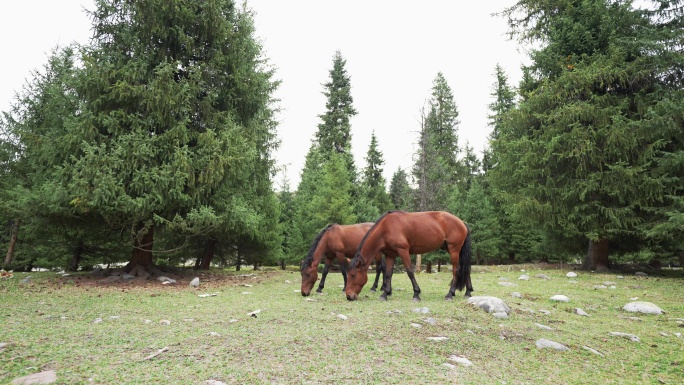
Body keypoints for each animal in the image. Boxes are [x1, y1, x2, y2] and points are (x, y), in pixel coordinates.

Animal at [344, 212, 472, 302]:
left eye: (353, 275)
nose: (349, 296)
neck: (386, 228)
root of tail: (462, 222)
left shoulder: (403, 251)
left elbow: (410, 272)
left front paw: (416, 294)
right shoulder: (390, 254)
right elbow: (388, 274)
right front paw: (385, 294)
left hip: (454, 250)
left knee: (457, 270)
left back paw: (450, 294)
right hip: (453, 250)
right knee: (465, 269)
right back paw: (468, 292)